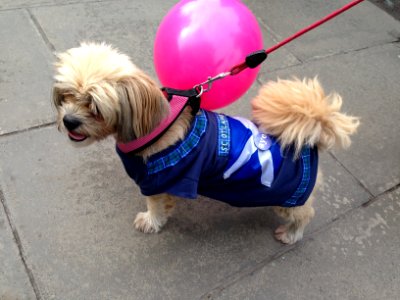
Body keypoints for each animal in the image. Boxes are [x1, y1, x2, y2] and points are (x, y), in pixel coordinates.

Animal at [52, 42, 360, 244]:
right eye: (65, 95)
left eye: (94, 106)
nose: (69, 121)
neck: (153, 125)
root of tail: (311, 144)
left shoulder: (157, 184)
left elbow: (155, 208)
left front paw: (150, 222)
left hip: (287, 198)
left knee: (305, 213)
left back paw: (292, 233)